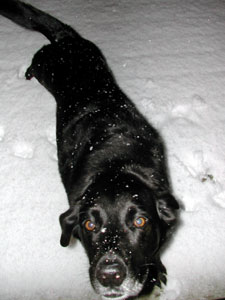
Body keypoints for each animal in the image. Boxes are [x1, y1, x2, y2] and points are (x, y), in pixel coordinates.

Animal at [0, 1, 179, 298]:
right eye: (90, 225)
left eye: (140, 222)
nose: (110, 275)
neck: (116, 162)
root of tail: (68, 39)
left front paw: (155, 269)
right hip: (45, 62)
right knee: (35, 60)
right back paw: (27, 71)